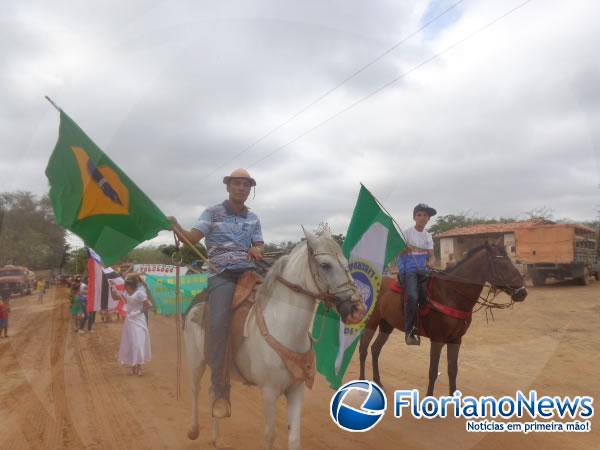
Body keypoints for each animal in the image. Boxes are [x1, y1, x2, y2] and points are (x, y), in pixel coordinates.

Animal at [185, 230, 366, 448]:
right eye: (325, 265)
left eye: (346, 263)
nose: (357, 309)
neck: (284, 329)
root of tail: (197, 306)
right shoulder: (269, 392)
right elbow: (270, 435)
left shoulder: (297, 390)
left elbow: (294, 438)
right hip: (196, 361)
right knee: (195, 389)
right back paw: (194, 430)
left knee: (214, 391)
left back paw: (215, 433)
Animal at [358, 243, 528, 394]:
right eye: (501, 264)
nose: (523, 292)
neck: (450, 295)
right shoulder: (437, 339)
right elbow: (433, 371)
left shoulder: (456, 339)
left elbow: (453, 370)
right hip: (371, 323)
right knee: (363, 350)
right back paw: (361, 384)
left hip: (386, 325)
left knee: (375, 350)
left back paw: (378, 382)